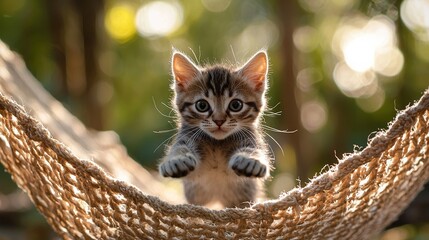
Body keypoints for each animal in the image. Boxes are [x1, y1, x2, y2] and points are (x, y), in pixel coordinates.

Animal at [157, 50, 270, 208]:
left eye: (236, 105)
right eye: (202, 105)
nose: (219, 120)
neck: (217, 143)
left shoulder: (251, 139)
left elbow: (254, 150)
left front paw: (250, 160)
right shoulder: (186, 140)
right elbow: (179, 149)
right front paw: (177, 160)